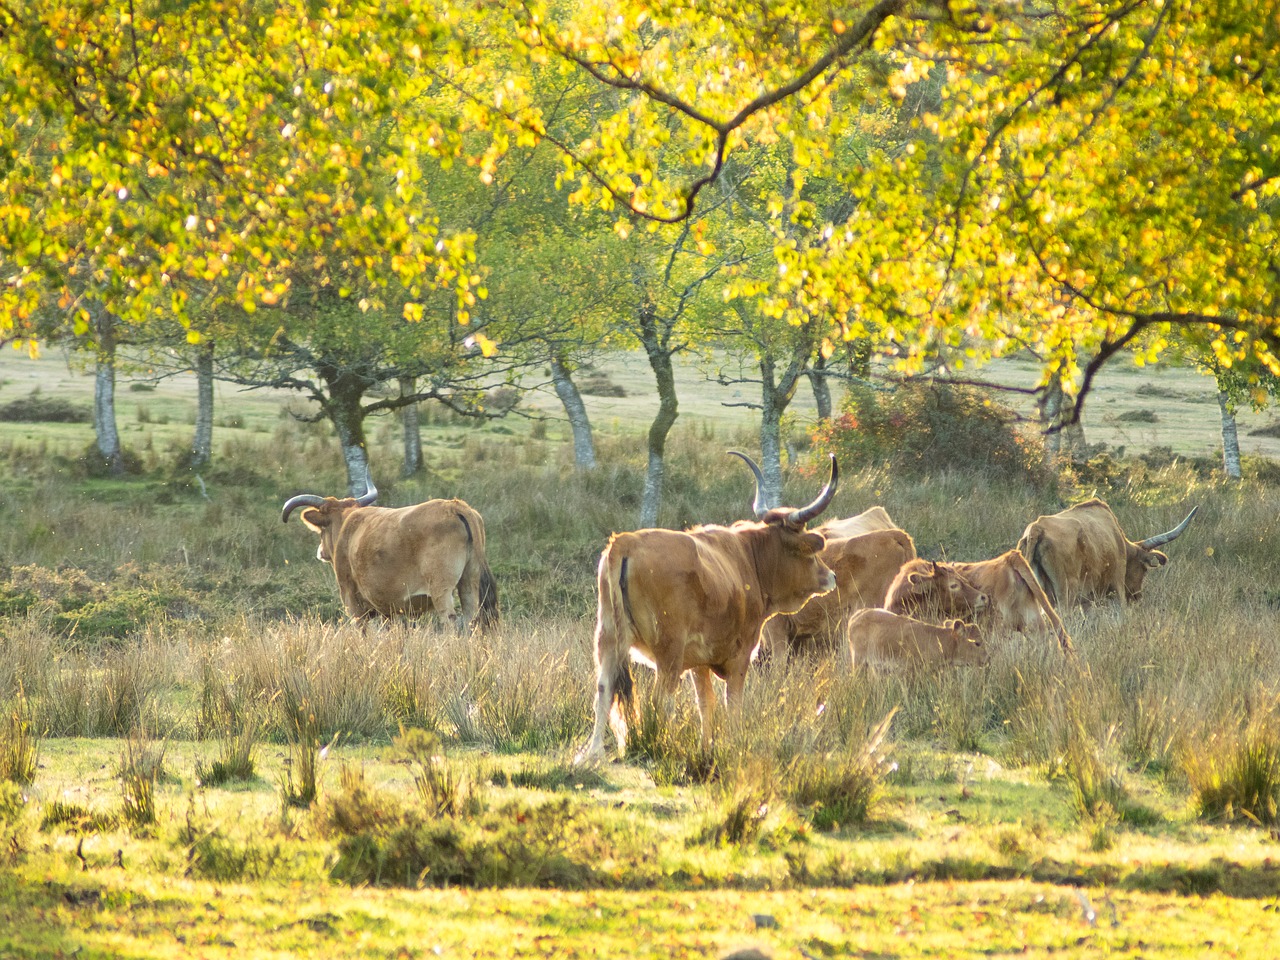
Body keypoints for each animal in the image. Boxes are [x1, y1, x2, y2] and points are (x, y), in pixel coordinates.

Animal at [282, 481, 496, 632]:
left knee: (451, 622)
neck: (348, 526)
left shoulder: (352, 602)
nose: (321, 551)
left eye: (322, 529)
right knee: (470, 620)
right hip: (469, 585)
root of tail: (455, 507)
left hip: (441, 591)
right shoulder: (387, 609)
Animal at [581, 455, 839, 762]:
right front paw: (734, 745)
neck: (749, 560)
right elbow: (733, 705)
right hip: (668, 652)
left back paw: (593, 752)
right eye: (811, 554)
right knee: (659, 699)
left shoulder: (699, 663)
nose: (831, 576)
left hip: (608, 639)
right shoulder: (739, 657)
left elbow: (706, 704)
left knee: (604, 690)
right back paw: (659, 745)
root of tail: (626, 541)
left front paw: (707, 749)